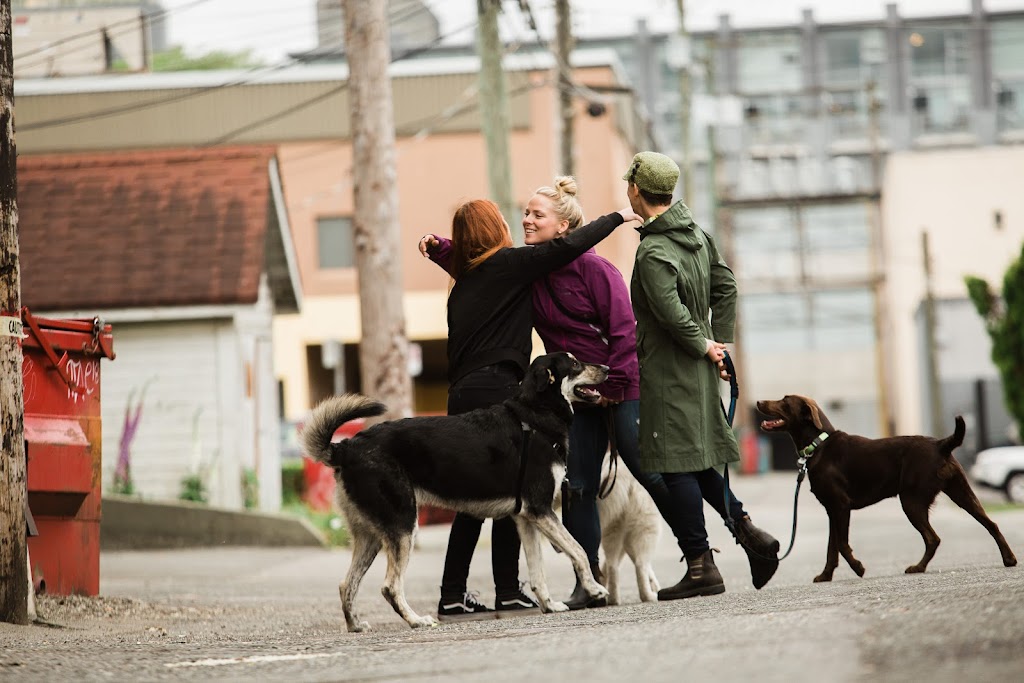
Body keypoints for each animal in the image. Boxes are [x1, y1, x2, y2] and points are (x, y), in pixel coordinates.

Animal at [301, 356, 606, 634]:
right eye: (575, 364)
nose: (607, 368)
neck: (534, 415)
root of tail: (345, 448)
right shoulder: (542, 510)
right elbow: (578, 550)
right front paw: (594, 589)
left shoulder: (527, 517)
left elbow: (538, 571)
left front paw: (549, 605)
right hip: (403, 526)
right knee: (390, 586)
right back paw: (416, 621)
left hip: (371, 536)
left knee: (346, 584)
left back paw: (355, 625)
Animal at [757, 395, 1011, 581]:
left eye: (784, 400)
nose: (758, 402)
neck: (818, 444)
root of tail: (941, 444)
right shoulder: (832, 510)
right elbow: (832, 548)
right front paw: (825, 576)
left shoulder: (841, 506)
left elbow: (842, 545)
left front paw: (858, 567)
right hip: (961, 493)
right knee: (991, 524)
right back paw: (1009, 559)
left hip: (911, 501)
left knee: (933, 538)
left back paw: (918, 567)